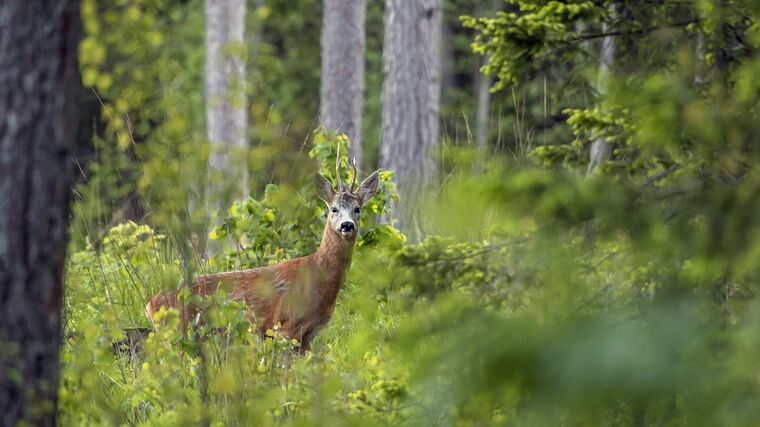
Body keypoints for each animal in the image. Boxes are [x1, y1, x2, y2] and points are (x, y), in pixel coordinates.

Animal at [145, 159, 378, 352]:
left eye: (358, 208)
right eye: (333, 209)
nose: (346, 225)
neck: (318, 277)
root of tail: (150, 305)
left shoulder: (309, 335)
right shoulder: (286, 326)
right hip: (179, 333)